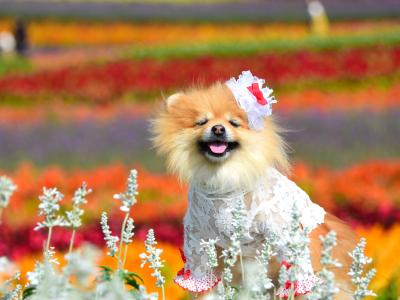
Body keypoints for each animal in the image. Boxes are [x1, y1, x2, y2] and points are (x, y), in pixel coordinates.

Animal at [152, 71, 356, 298]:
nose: (218, 128)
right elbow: (203, 280)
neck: (223, 183)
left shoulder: (280, 231)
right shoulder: (199, 241)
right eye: (202, 122)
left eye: (233, 123)